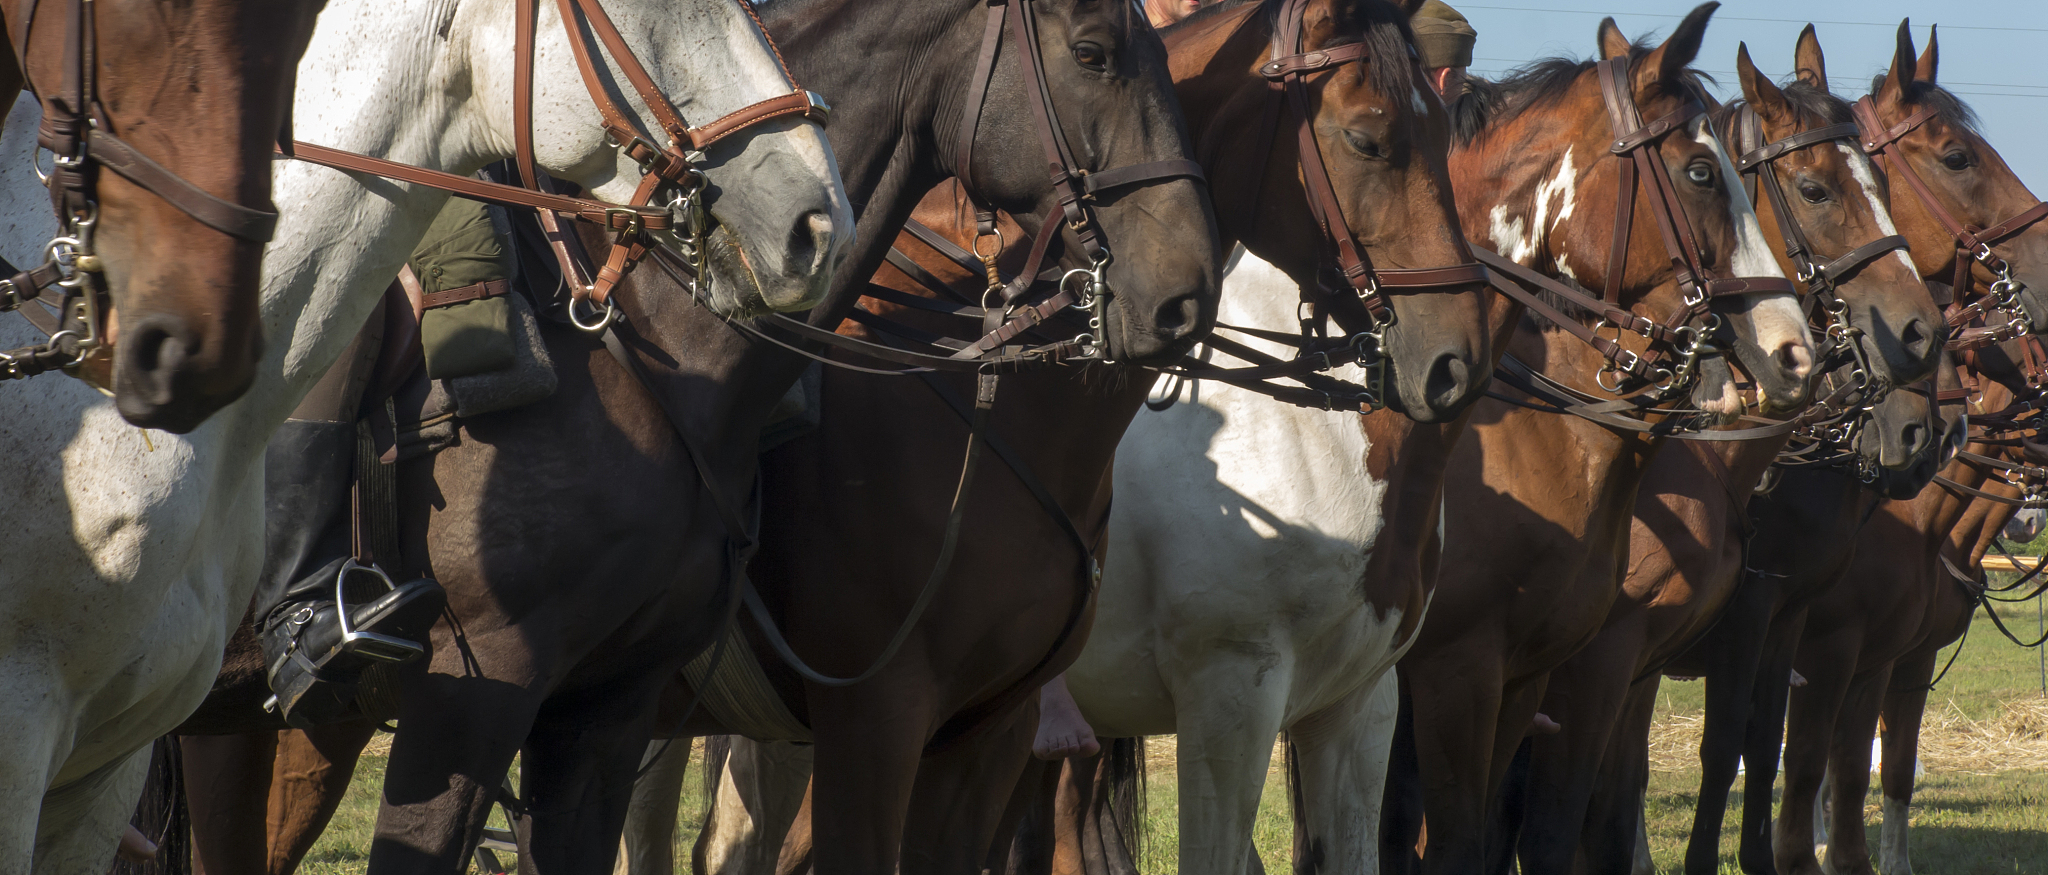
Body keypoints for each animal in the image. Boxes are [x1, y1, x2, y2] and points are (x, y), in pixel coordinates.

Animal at [1508, 28, 1945, 875]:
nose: (1919, 335)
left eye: (1881, 178)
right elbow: (1712, 754)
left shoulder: (1773, 623)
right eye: (1813, 189)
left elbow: (1756, 749)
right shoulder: (1703, 628)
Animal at [1660, 22, 2048, 875]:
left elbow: (1848, 766)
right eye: (1957, 155)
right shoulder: (1805, 634)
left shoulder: (1875, 654)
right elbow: (1775, 758)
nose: (1919, 435)